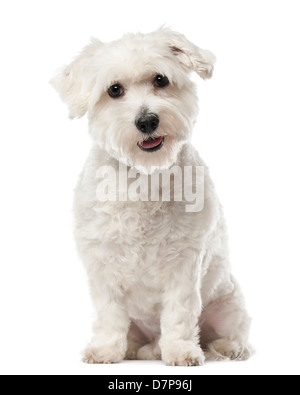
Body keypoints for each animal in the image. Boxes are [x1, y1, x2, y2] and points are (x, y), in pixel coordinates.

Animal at [52, 27, 253, 366]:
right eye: (114, 90)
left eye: (160, 79)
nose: (147, 121)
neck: (143, 177)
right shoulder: (102, 265)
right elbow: (109, 315)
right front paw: (105, 350)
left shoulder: (184, 264)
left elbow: (179, 314)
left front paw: (182, 351)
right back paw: (138, 348)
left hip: (228, 303)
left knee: (229, 332)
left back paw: (224, 348)